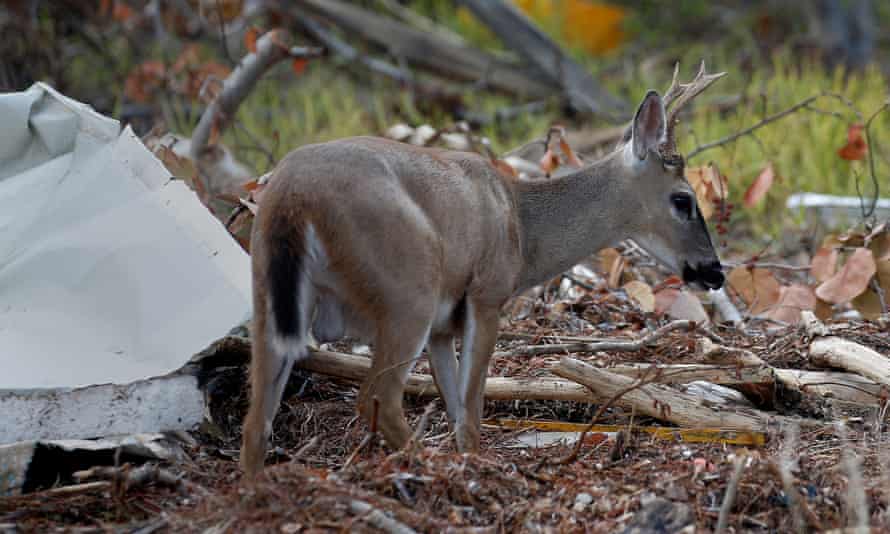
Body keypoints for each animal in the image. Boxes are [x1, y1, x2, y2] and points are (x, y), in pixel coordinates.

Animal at [239, 61, 724, 478]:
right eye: (683, 200)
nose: (715, 272)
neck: (523, 229)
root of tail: (293, 196)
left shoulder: (441, 327)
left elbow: (455, 408)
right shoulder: (486, 295)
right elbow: (471, 410)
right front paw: (476, 468)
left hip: (268, 292)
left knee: (256, 420)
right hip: (407, 288)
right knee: (378, 396)